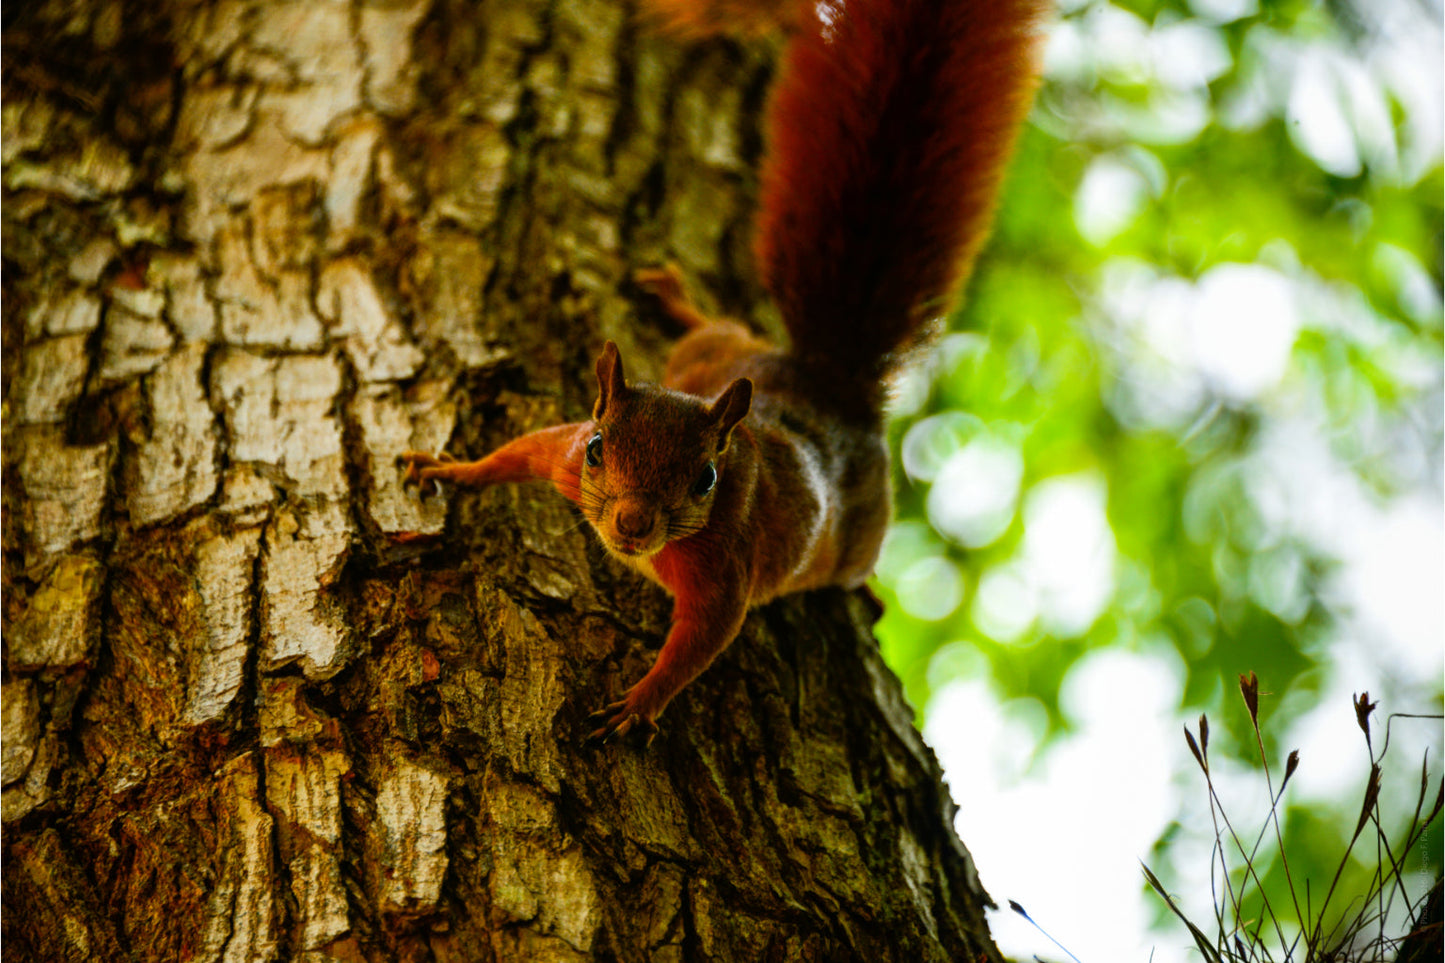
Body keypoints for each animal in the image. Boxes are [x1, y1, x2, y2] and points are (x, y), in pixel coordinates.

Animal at [401, 0, 1046, 740]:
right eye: (597, 449)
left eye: (706, 478)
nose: (631, 525)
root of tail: (828, 379)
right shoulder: (560, 454)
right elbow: (516, 452)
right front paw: (451, 469)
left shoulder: (724, 568)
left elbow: (701, 641)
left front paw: (638, 703)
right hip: (711, 354)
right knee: (716, 327)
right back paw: (674, 298)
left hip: (862, 526)